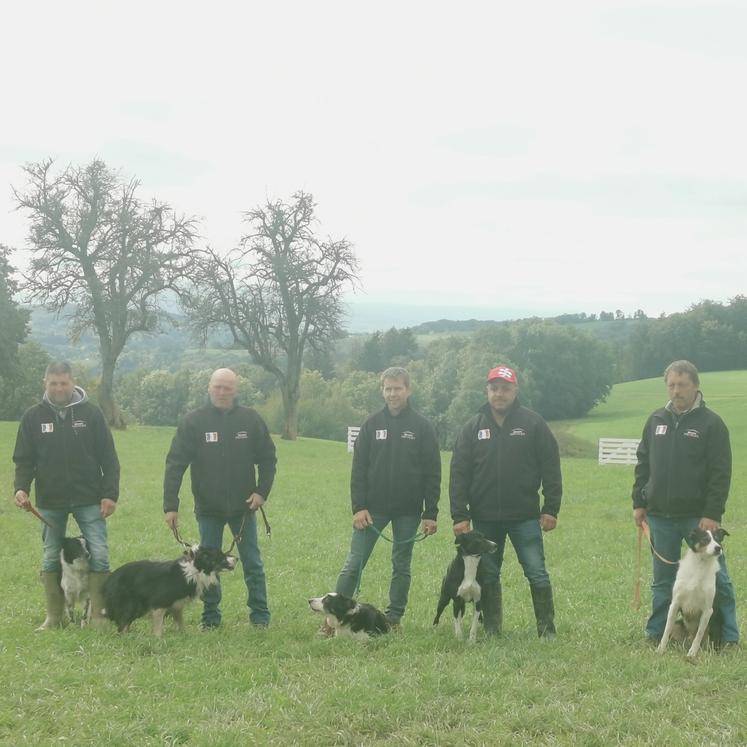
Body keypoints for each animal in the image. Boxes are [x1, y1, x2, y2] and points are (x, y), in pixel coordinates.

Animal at [102, 544, 237, 636]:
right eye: (220, 555)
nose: (237, 559)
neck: (195, 570)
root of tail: (110, 578)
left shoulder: (177, 605)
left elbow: (180, 624)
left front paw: (184, 636)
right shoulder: (159, 603)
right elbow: (158, 628)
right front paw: (158, 640)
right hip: (131, 604)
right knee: (123, 624)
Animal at [660, 524, 732, 660]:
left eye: (718, 539)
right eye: (705, 539)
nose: (718, 548)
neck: (700, 565)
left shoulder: (708, 610)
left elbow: (699, 635)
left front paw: (692, 654)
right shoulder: (675, 604)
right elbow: (666, 629)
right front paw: (660, 649)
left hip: (714, 625)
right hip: (679, 625)